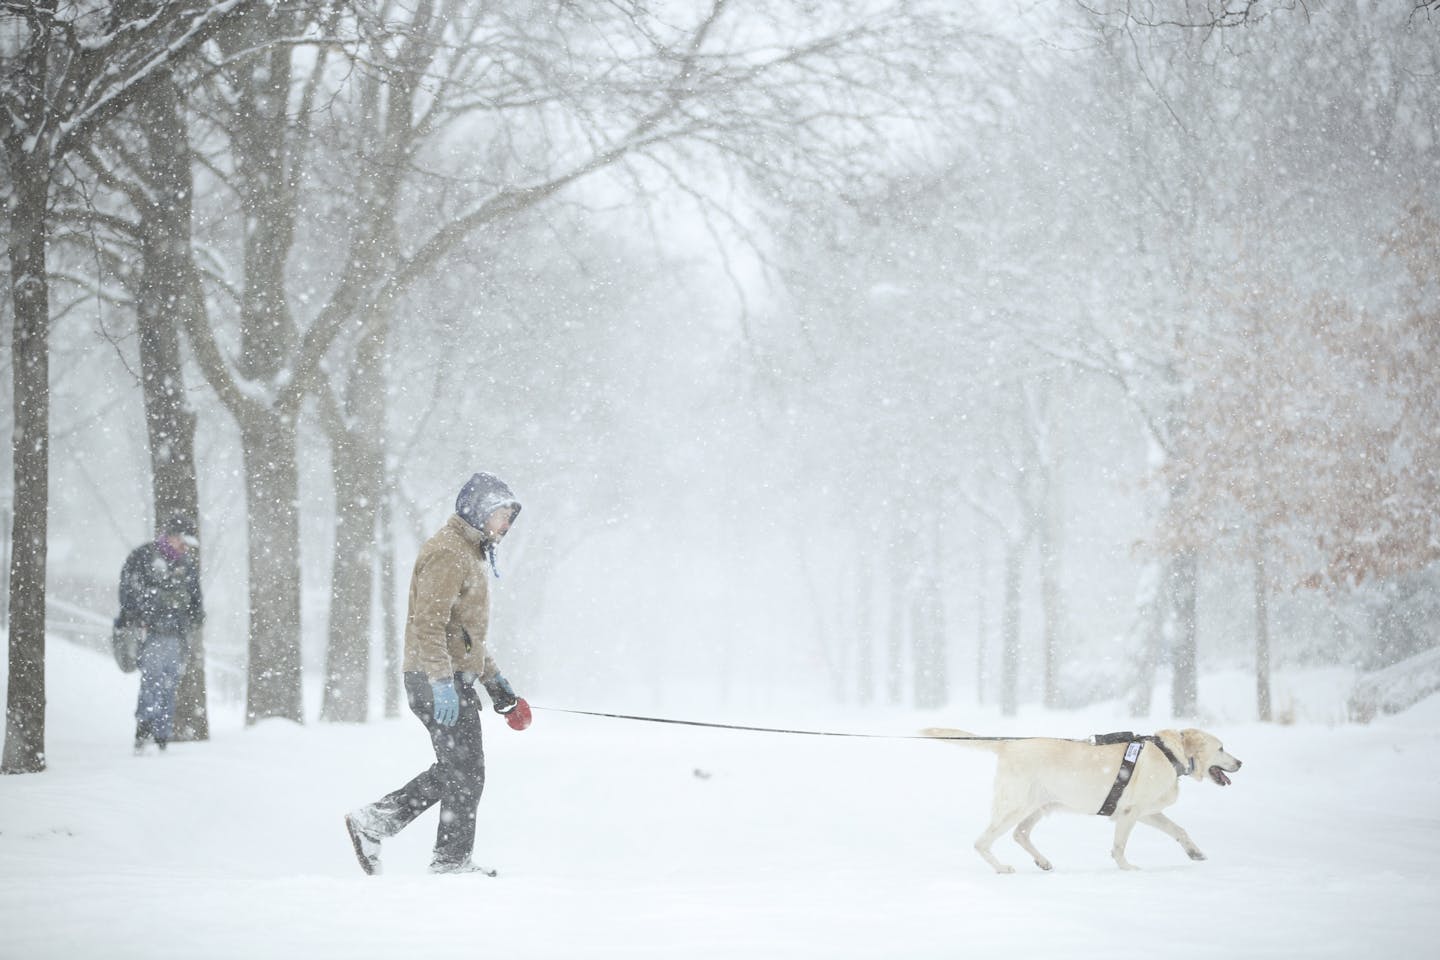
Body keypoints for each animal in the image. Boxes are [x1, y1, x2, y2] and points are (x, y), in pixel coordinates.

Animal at [927, 728, 1244, 869]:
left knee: (1020, 834)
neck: (1169, 754)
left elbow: (1179, 830)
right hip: (1015, 806)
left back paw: (1042, 861)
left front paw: (1195, 853)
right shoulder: (1130, 813)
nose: (1241, 762)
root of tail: (1008, 745)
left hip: (1039, 806)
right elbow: (1118, 847)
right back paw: (1002, 868)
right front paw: (1128, 868)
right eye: (1221, 748)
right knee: (982, 842)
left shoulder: (1147, 812)